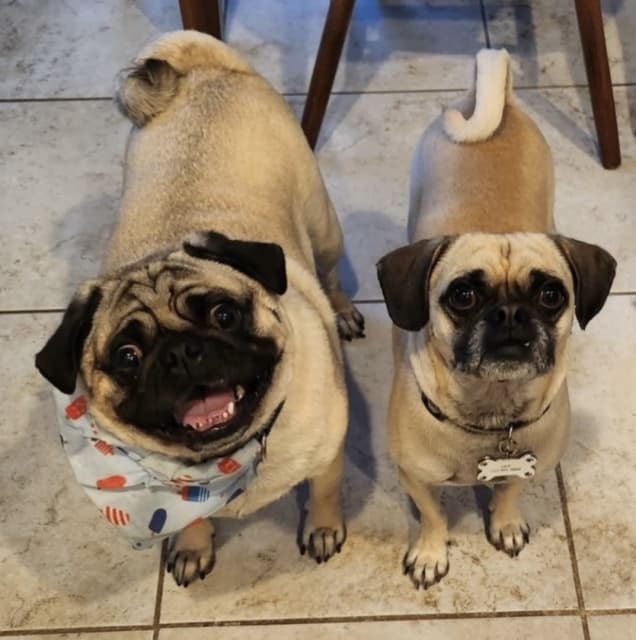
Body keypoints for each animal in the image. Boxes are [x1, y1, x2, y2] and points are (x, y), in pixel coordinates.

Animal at [35, 31, 364, 587]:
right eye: (127, 356)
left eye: (224, 316)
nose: (180, 352)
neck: (228, 460)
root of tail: (205, 69)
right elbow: (187, 522)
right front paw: (192, 548)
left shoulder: (328, 453)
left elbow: (323, 492)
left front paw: (322, 529)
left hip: (324, 226)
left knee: (332, 272)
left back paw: (341, 311)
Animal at [376, 49, 616, 589]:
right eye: (462, 296)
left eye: (551, 295)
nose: (509, 313)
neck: (490, 411)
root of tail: (496, 91)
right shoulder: (415, 477)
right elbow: (435, 516)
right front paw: (431, 553)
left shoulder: (532, 466)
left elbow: (509, 492)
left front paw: (504, 524)